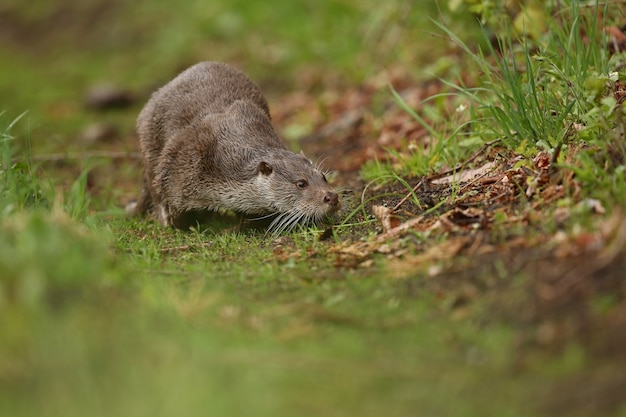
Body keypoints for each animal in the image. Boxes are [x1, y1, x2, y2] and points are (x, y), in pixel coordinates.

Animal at [126, 61, 338, 232]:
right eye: (301, 183)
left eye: (323, 176)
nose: (332, 197)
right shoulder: (180, 162)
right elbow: (169, 199)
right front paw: (178, 225)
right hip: (149, 140)